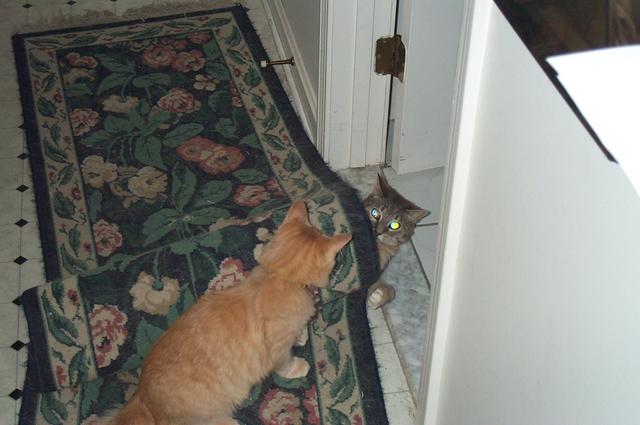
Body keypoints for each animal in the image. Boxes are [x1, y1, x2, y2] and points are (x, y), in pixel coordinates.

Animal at [109, 201, 351, 425]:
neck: (278, 276)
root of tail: (142, 396)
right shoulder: (279, 349)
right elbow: (285, 363)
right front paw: (297, 365)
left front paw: (300, 336)